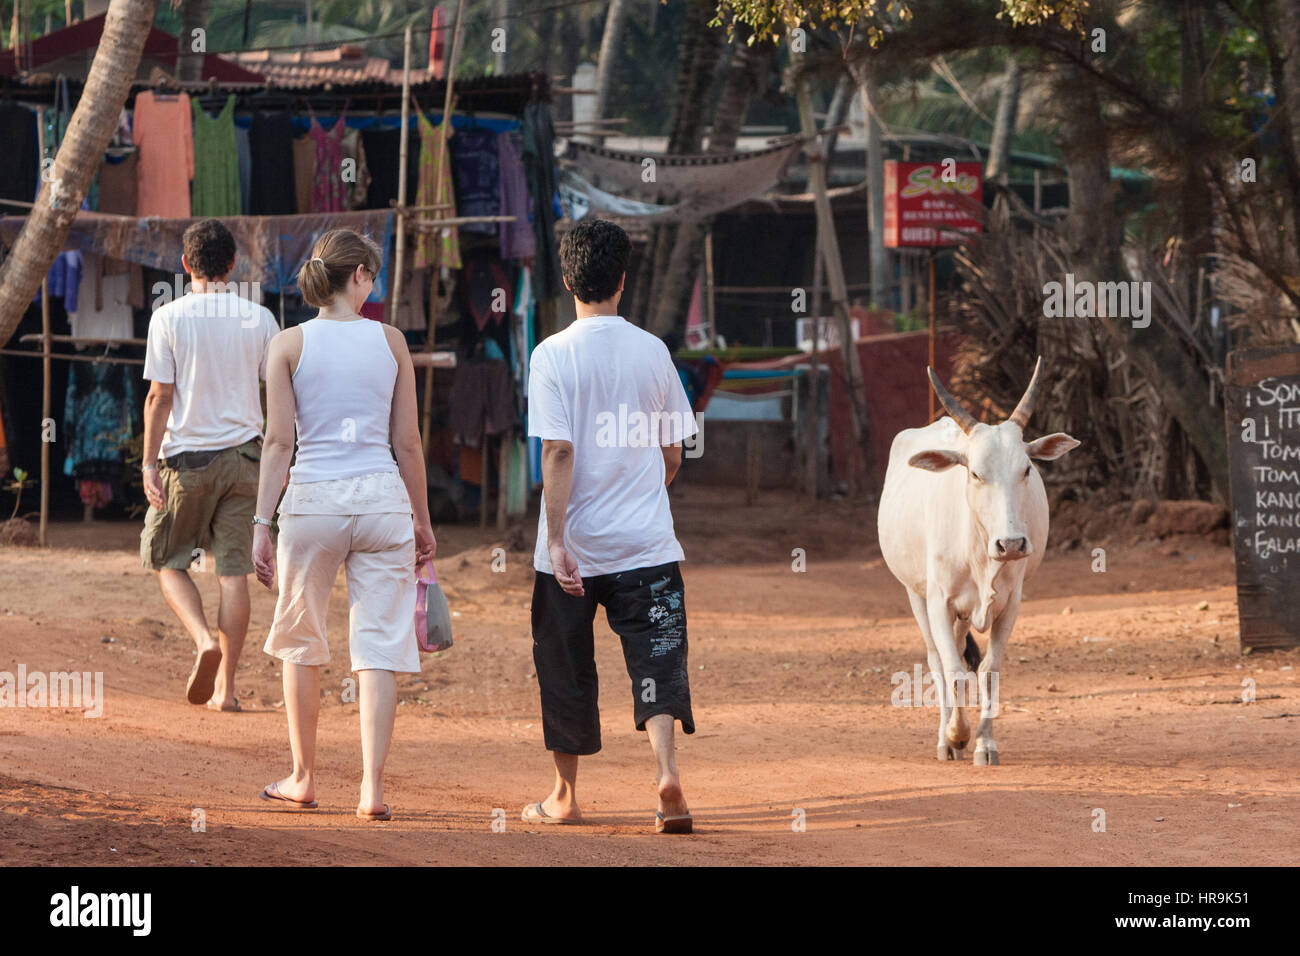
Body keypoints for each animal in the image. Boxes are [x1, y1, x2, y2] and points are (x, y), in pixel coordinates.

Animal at [878, 358, 1081, 764]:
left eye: (1027, 469)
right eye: (975, 473)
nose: (1012, 543)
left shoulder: (1010, 604)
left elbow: (988, 670)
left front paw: (985, 744)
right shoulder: (938, 602)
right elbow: (953, 671)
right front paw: (956, 736)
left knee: (958, 652)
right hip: (915, 594)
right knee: (938, 661)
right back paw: (945, 740)